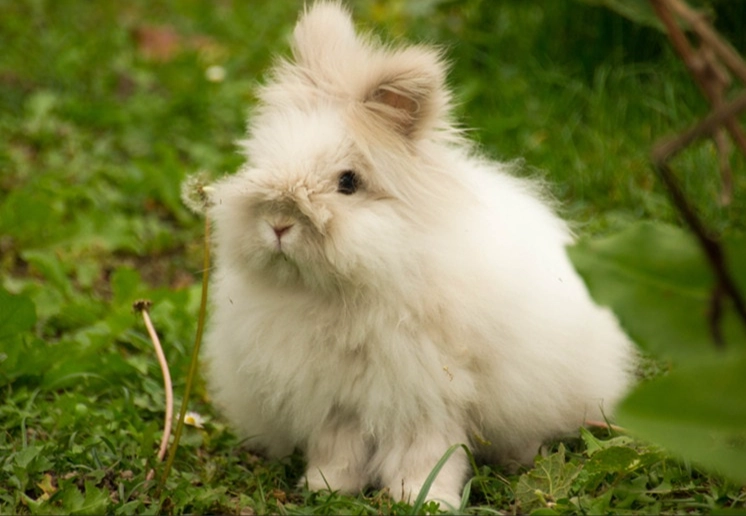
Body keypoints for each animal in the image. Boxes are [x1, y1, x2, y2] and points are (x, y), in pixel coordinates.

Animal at [202, 1, 635, 509]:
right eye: (262, 162)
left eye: (348, 182)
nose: (278, 224)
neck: (344, 292)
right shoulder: (336, 401)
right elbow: (338, 448)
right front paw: (326, 487)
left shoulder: (428, 396)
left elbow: (428, 452)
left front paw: (424, 499)